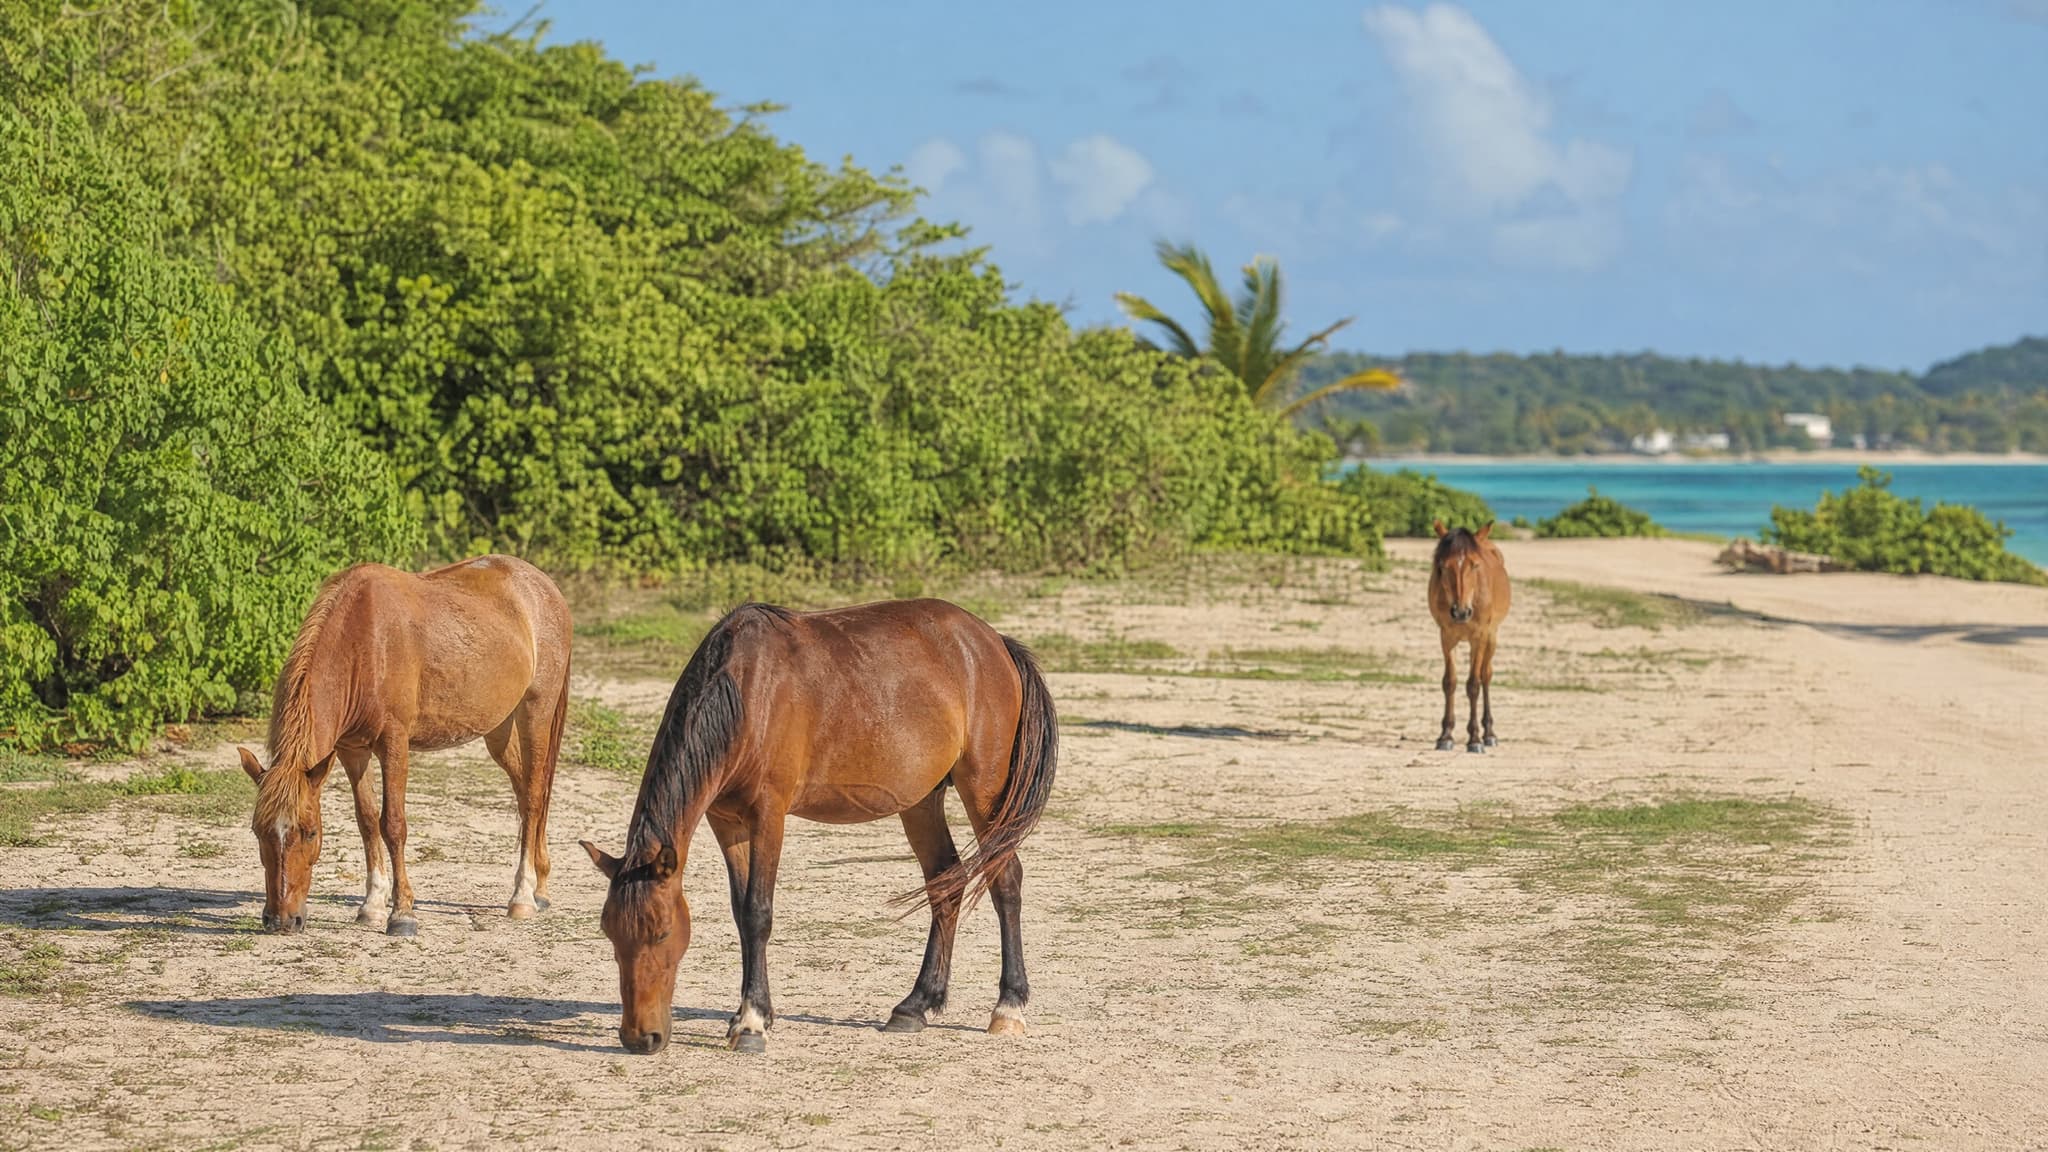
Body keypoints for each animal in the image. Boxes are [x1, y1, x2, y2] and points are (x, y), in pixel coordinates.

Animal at [237, 555, 572, 936]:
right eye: (257, 831)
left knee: (533, 796)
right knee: (525, 791)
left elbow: (393, 825)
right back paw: (540, 887)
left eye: (310, 833)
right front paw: (372, 906)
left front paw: (402, 914)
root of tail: (544, 587)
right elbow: (367, 821)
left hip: (535, 711)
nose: (280, 920)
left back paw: (522, 897)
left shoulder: (394, 745)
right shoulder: (352, 750)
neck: (364, 644)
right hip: (497, 729)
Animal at [580, 598, 1057, 1056]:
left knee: (1005, 880)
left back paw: (1008, 1007)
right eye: (609, 933)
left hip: (984, 791)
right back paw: (916, 1005)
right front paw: (748, 1015)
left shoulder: (768, 815)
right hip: (921, 802)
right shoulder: (726, 821)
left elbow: (757, 912)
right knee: (945, 883)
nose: (640, 1038)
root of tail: (994, 643)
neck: (747, 694)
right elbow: (739, 912)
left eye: (661, 932)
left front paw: (752, 1023)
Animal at [1428, 520, 1512, 753]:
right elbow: (1450, 682)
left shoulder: (1479, 636)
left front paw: (1474, 739)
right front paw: (1445, 736)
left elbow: (1474, 684)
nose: (1460, 613)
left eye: (1475, 565)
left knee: (1485, 676)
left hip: (1491, 637)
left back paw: (1489, 734)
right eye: (1442, 566)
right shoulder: (1446, 636)